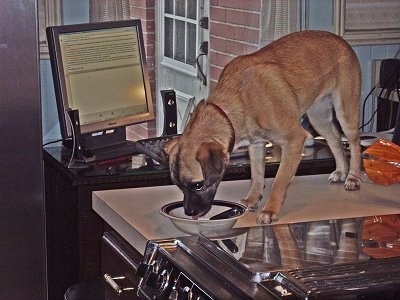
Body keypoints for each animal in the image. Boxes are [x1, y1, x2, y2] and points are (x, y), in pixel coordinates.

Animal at [164, 30, 360, 224]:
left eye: (198, 185)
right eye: (178, 185)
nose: (189, 212)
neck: (239, 101)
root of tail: (341, 40)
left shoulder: (294, 140)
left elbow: (279, 181)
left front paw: (270, 210)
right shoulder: (256, 144)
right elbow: (257, 176)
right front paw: (252, 199)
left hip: (345, 112)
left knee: (354, 145)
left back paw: (352, 177)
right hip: (318, 118)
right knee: (336, 141)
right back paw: (341, 171)